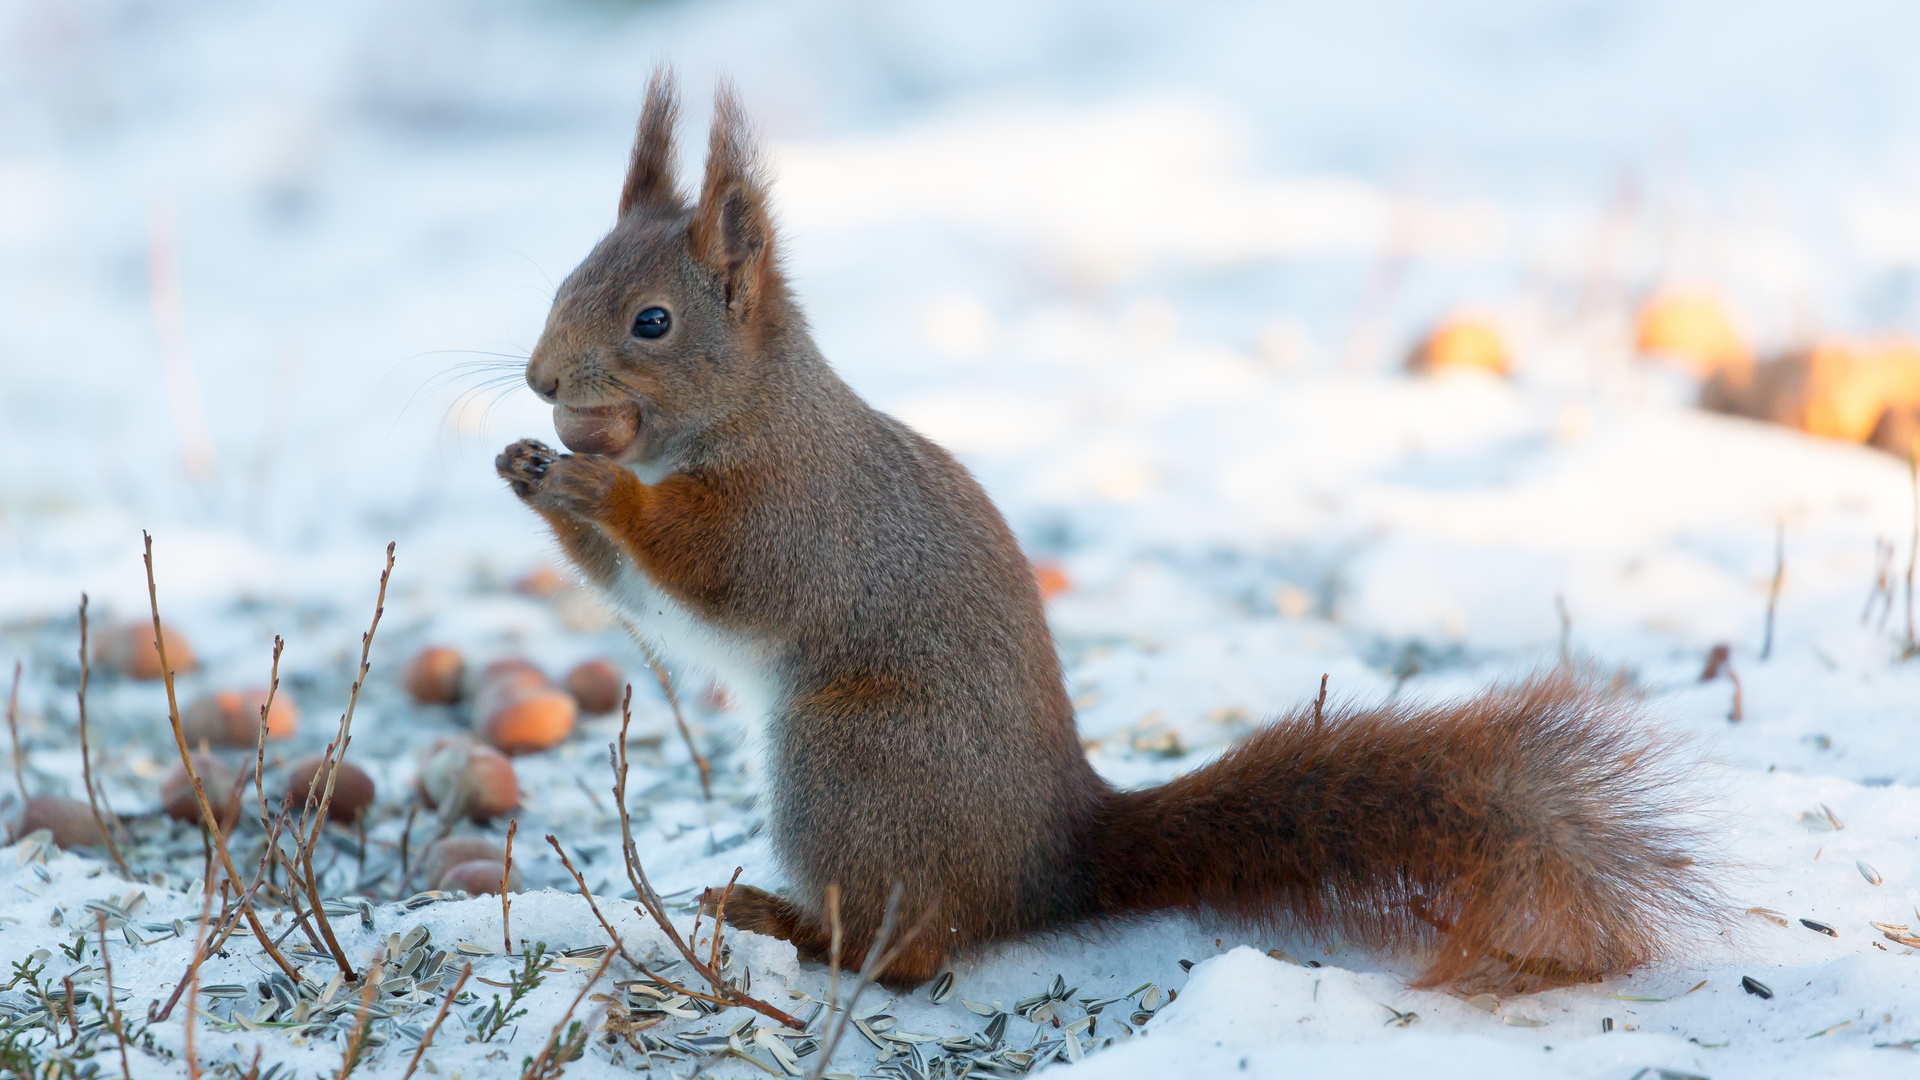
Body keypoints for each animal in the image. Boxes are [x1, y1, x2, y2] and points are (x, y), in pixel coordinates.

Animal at [499, 71, 1728, 991]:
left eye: (652, 322)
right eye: (562, 280)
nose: (541, 381)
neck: (749, 413)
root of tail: (1054, 861)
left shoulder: (796, 516)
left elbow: (712, 569)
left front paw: (600, 493)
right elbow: (641, 593)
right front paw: (530, 475)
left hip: (852, 764)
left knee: (914, 949)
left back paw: (787, 921)